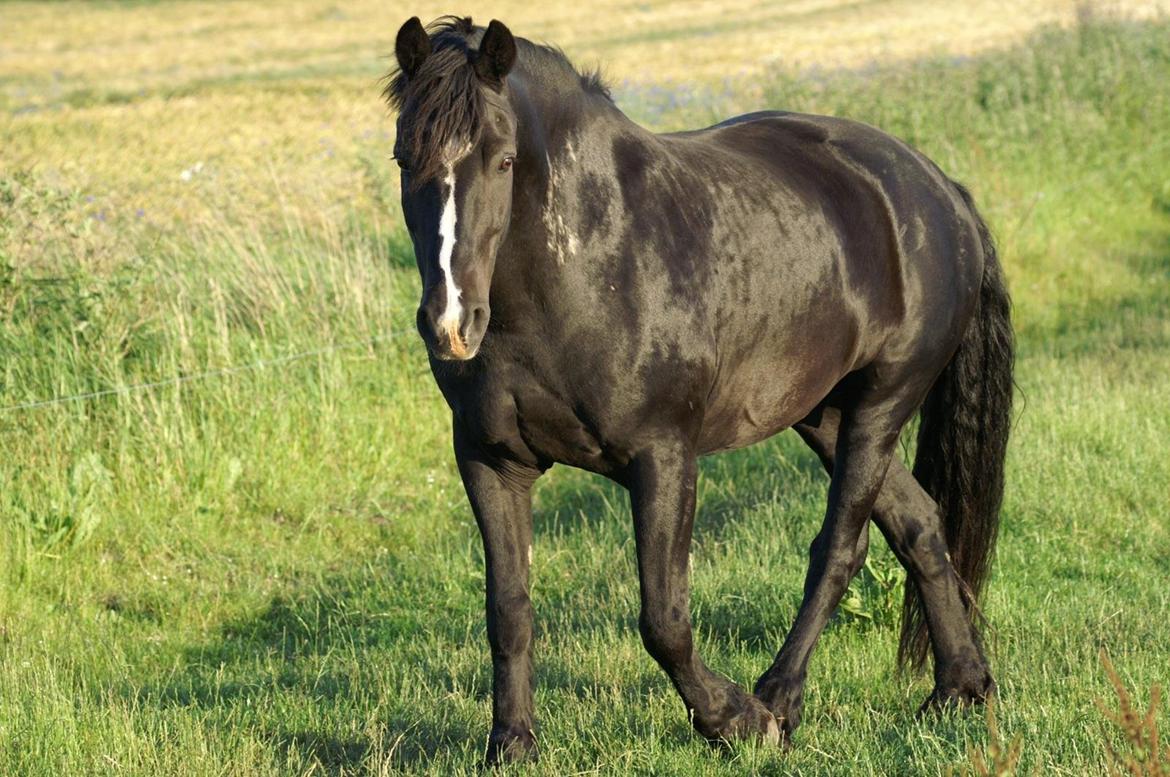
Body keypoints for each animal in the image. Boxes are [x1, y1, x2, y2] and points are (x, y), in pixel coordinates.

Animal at [386, 15, 1015, 762]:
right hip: (826, 414)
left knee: (841, 547)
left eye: (503, 160)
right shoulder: (491, 460)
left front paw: (733, 720)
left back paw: (779, 700)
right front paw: (511, 745)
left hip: (882, 403)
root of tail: (938, 189)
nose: (451, 323)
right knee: (918, 525)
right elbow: (508, 609)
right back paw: (958, 689)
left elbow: (664, 618)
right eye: (403, 159)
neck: (589, 267)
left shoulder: (662, 458)